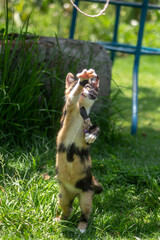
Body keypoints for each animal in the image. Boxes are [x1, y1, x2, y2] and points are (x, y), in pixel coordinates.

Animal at [55, 68, 103, 232]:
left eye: (89, 87)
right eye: (73, 85)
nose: (84, 88)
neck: (80, 111)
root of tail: (74, 192)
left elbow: (95, 127)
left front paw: (92, 135)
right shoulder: (69, 106)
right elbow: (72, 96)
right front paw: (84, 76)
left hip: (86, 196)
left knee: (85, 214)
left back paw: (81, 228)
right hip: (63, 195)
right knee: (68, 208)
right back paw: (59, 220)